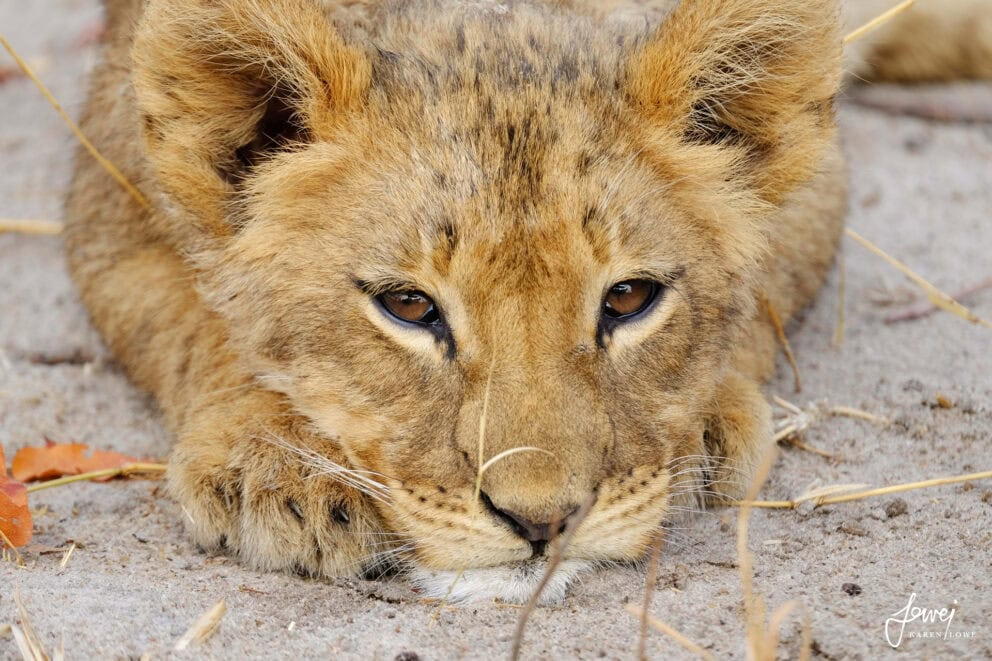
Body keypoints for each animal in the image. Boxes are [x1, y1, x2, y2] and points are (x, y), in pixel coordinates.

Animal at [62, 0, 991, 604]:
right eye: (409, 306)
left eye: (628, 298)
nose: (543, 522)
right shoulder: (105, 197)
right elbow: (199, 322)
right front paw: (277, 465)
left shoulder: (821, 175)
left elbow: (761, 288)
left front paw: (709, 423)